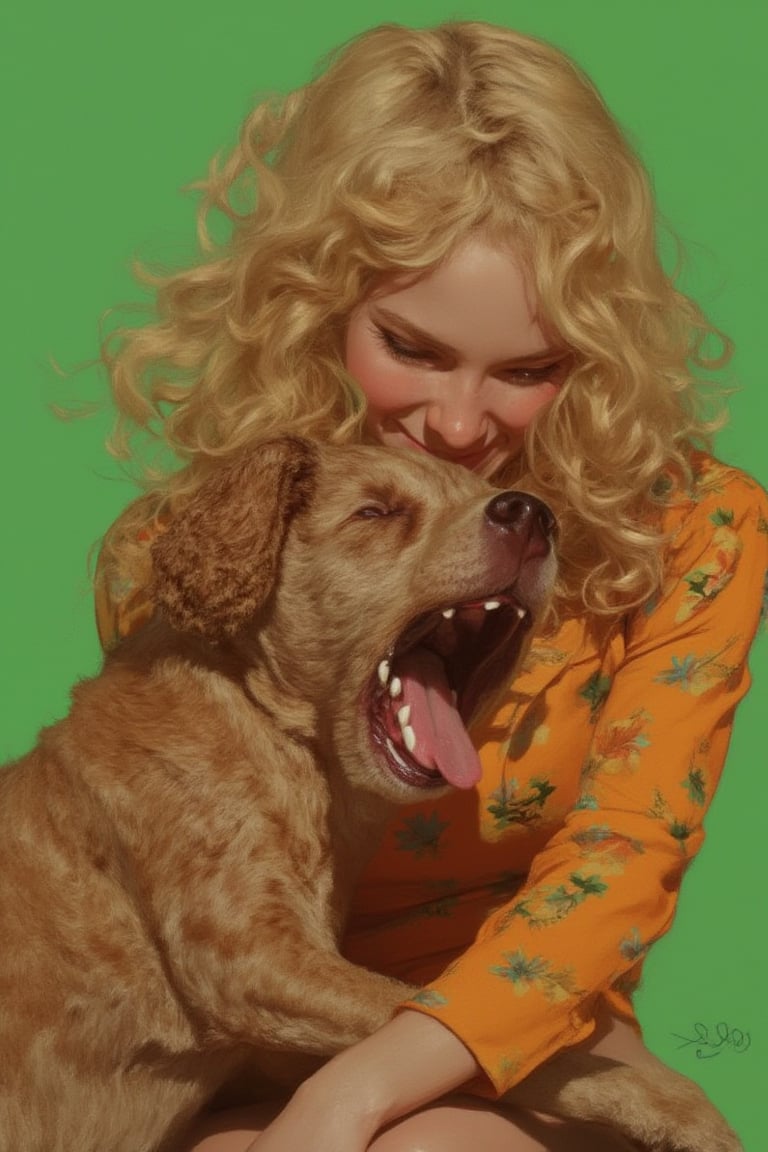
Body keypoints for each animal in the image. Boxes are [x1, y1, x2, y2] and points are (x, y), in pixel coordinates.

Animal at [0, 440, 741, 1152]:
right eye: (377, 512)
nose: (532, 514)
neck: (280, 739)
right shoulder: (244, 957)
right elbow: (442, 1019)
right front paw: (677, 1107)